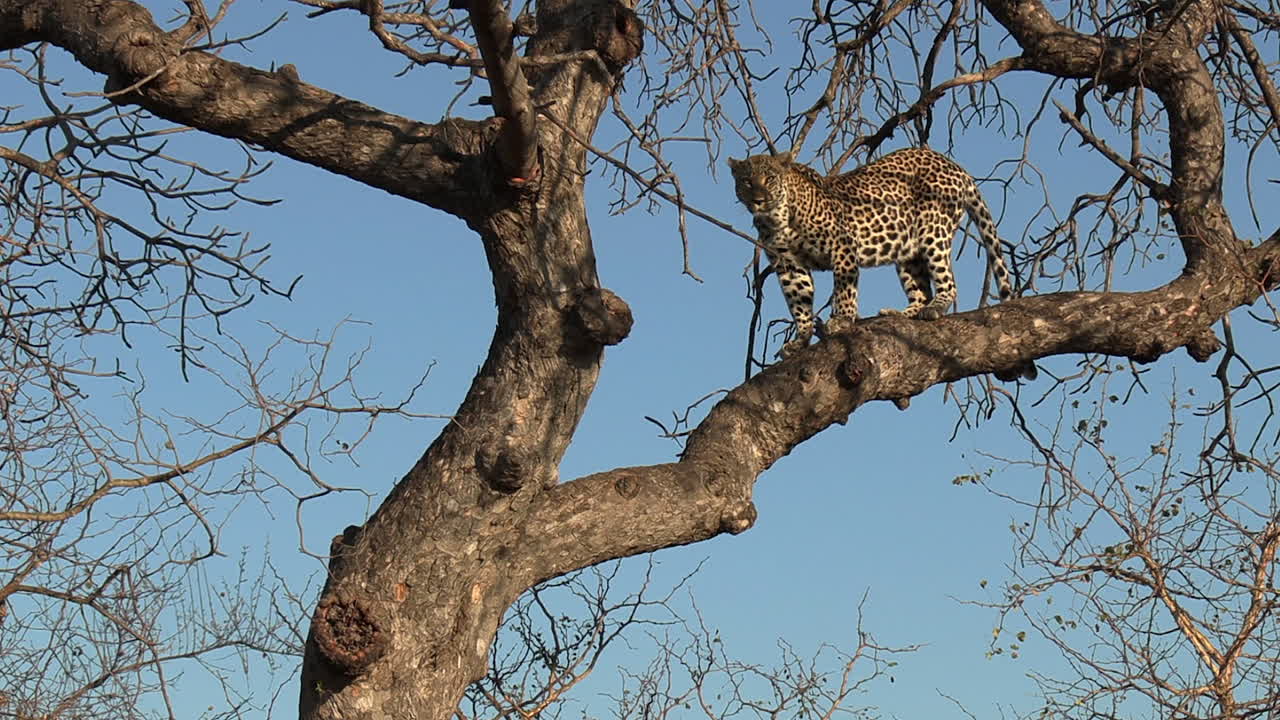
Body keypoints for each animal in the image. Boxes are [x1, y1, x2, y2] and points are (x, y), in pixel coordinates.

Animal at [728, 147, 1015, 358]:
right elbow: (799, 303)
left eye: (769, 179)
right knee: (921, 291)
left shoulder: (841, 246)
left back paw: (936, 307)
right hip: (908, 251)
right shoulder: (788, 264)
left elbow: (844, 289)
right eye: (746, 182)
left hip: (934, 231)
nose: (758, 200)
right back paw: (901, 314)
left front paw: (842, 321)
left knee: (947, 283)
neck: (777, 217)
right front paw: (801, 339)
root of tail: (956, 166)